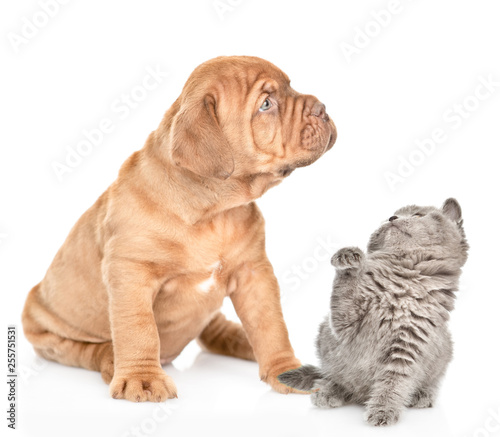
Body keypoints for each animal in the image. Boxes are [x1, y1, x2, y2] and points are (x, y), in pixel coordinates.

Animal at [22, 56, 336, 400]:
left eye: (291, 86)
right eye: (266, 104)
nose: (323, 108)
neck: (216, 211)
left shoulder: (254, 272)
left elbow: (270, 325)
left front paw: (287, 370)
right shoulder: (131, 272)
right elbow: (138, 328)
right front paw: (142, 379)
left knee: (216, 327)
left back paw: (241, 339)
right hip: (46, 330)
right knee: (86, 350)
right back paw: (110, 360)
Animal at [278, 198, 468, 426]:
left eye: (417, 215)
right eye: (391, 215)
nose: (393, 218)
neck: (402, 283)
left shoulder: (409, 344)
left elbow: (393, 382)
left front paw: (382, 410)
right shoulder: (345, 322)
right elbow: (345, 289)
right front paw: (349, 259)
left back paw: (422, 395)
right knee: (334, 378)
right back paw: (328, 391)